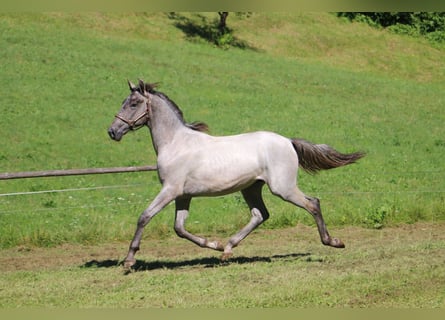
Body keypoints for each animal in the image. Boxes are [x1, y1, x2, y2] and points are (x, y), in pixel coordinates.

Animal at [107, 79, 364, 268]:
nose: (112, 131)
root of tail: (288, 141)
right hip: (251, 188)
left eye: (133, 103)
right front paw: (215, 244)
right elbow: (179, 228)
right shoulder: (183, 195)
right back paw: (228, 248)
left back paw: (333, 241)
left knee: (312, 203)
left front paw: (129, 260)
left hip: (283, 188)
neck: (176, 143)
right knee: (260, 215)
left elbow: (144, 216)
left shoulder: (170, 190)